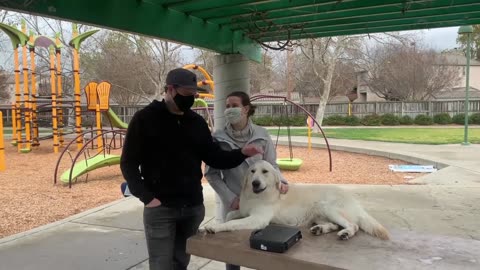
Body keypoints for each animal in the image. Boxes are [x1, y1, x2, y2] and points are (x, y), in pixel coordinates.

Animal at [202, 160, 390, 240]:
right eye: (252, 172)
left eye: (265, 172)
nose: (255, 183)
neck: (257, 195)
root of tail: (355, 202)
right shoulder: (243, 211)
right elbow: (230, 215)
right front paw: (221, 221)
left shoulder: (258, 219)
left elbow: (231, 223)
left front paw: (214, 228)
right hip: (320, 214)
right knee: (335, 224)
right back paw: (320, 229)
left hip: (328, 207)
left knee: (353, 225)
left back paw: (346, 233)